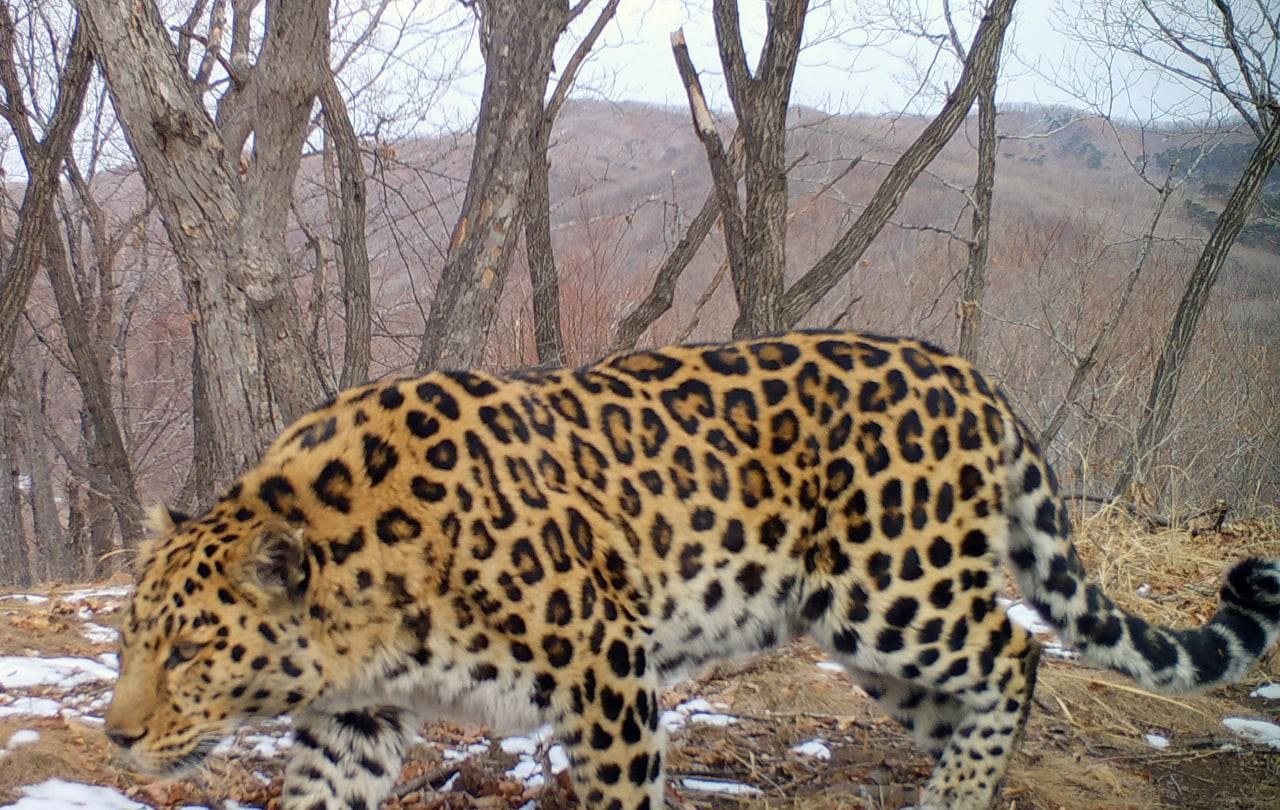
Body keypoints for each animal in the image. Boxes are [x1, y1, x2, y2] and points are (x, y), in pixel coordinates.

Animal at [104, 330, 1280, 808]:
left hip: (892, 590)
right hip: (872, 639)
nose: (114, 737)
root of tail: (974, 378)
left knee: (1012, 657)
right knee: (971, 695)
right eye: (128, 641)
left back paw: (952, 794)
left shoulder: (604, 671)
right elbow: (315, 793)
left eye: (192, 648)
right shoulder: (353, 722)